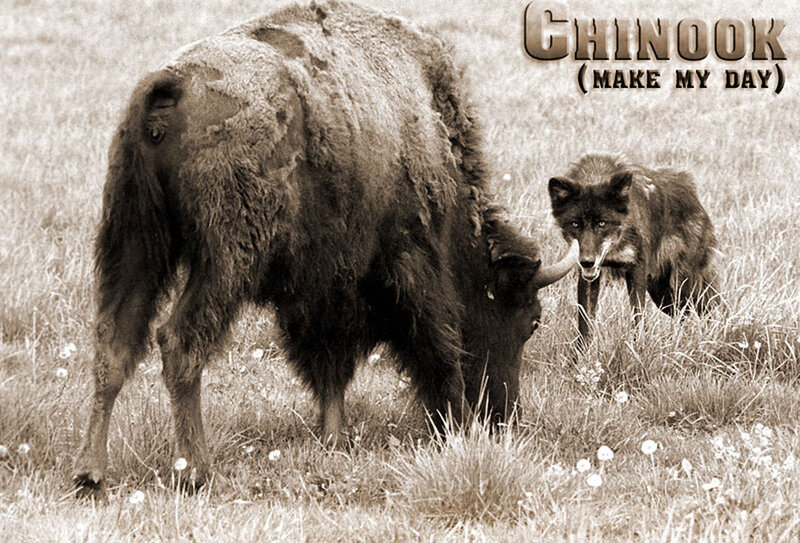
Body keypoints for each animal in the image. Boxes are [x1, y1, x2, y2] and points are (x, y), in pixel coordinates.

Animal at [74, 0, 577, 493]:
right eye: (531, 320)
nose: (504, 417)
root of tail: (171, 83)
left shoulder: (325, 286)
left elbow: (329, 364)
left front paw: (333, 436)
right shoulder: (410, 264)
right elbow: (438, 347)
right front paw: (455, 424)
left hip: (134, 242)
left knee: (114, 344)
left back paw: (91, 473)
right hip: (225, 260)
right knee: (179, 341)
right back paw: (195, 470)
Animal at [547, 154, 719, 342]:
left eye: (602, 223)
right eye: (575, 224)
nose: (587, 261)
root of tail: (692, 192)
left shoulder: (636, 269)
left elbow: (638, 316)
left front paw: (637, 346)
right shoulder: (589, 277)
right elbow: (585, 323)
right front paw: (582, 351)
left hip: (682, 286)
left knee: (697, 312)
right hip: (661, 293)